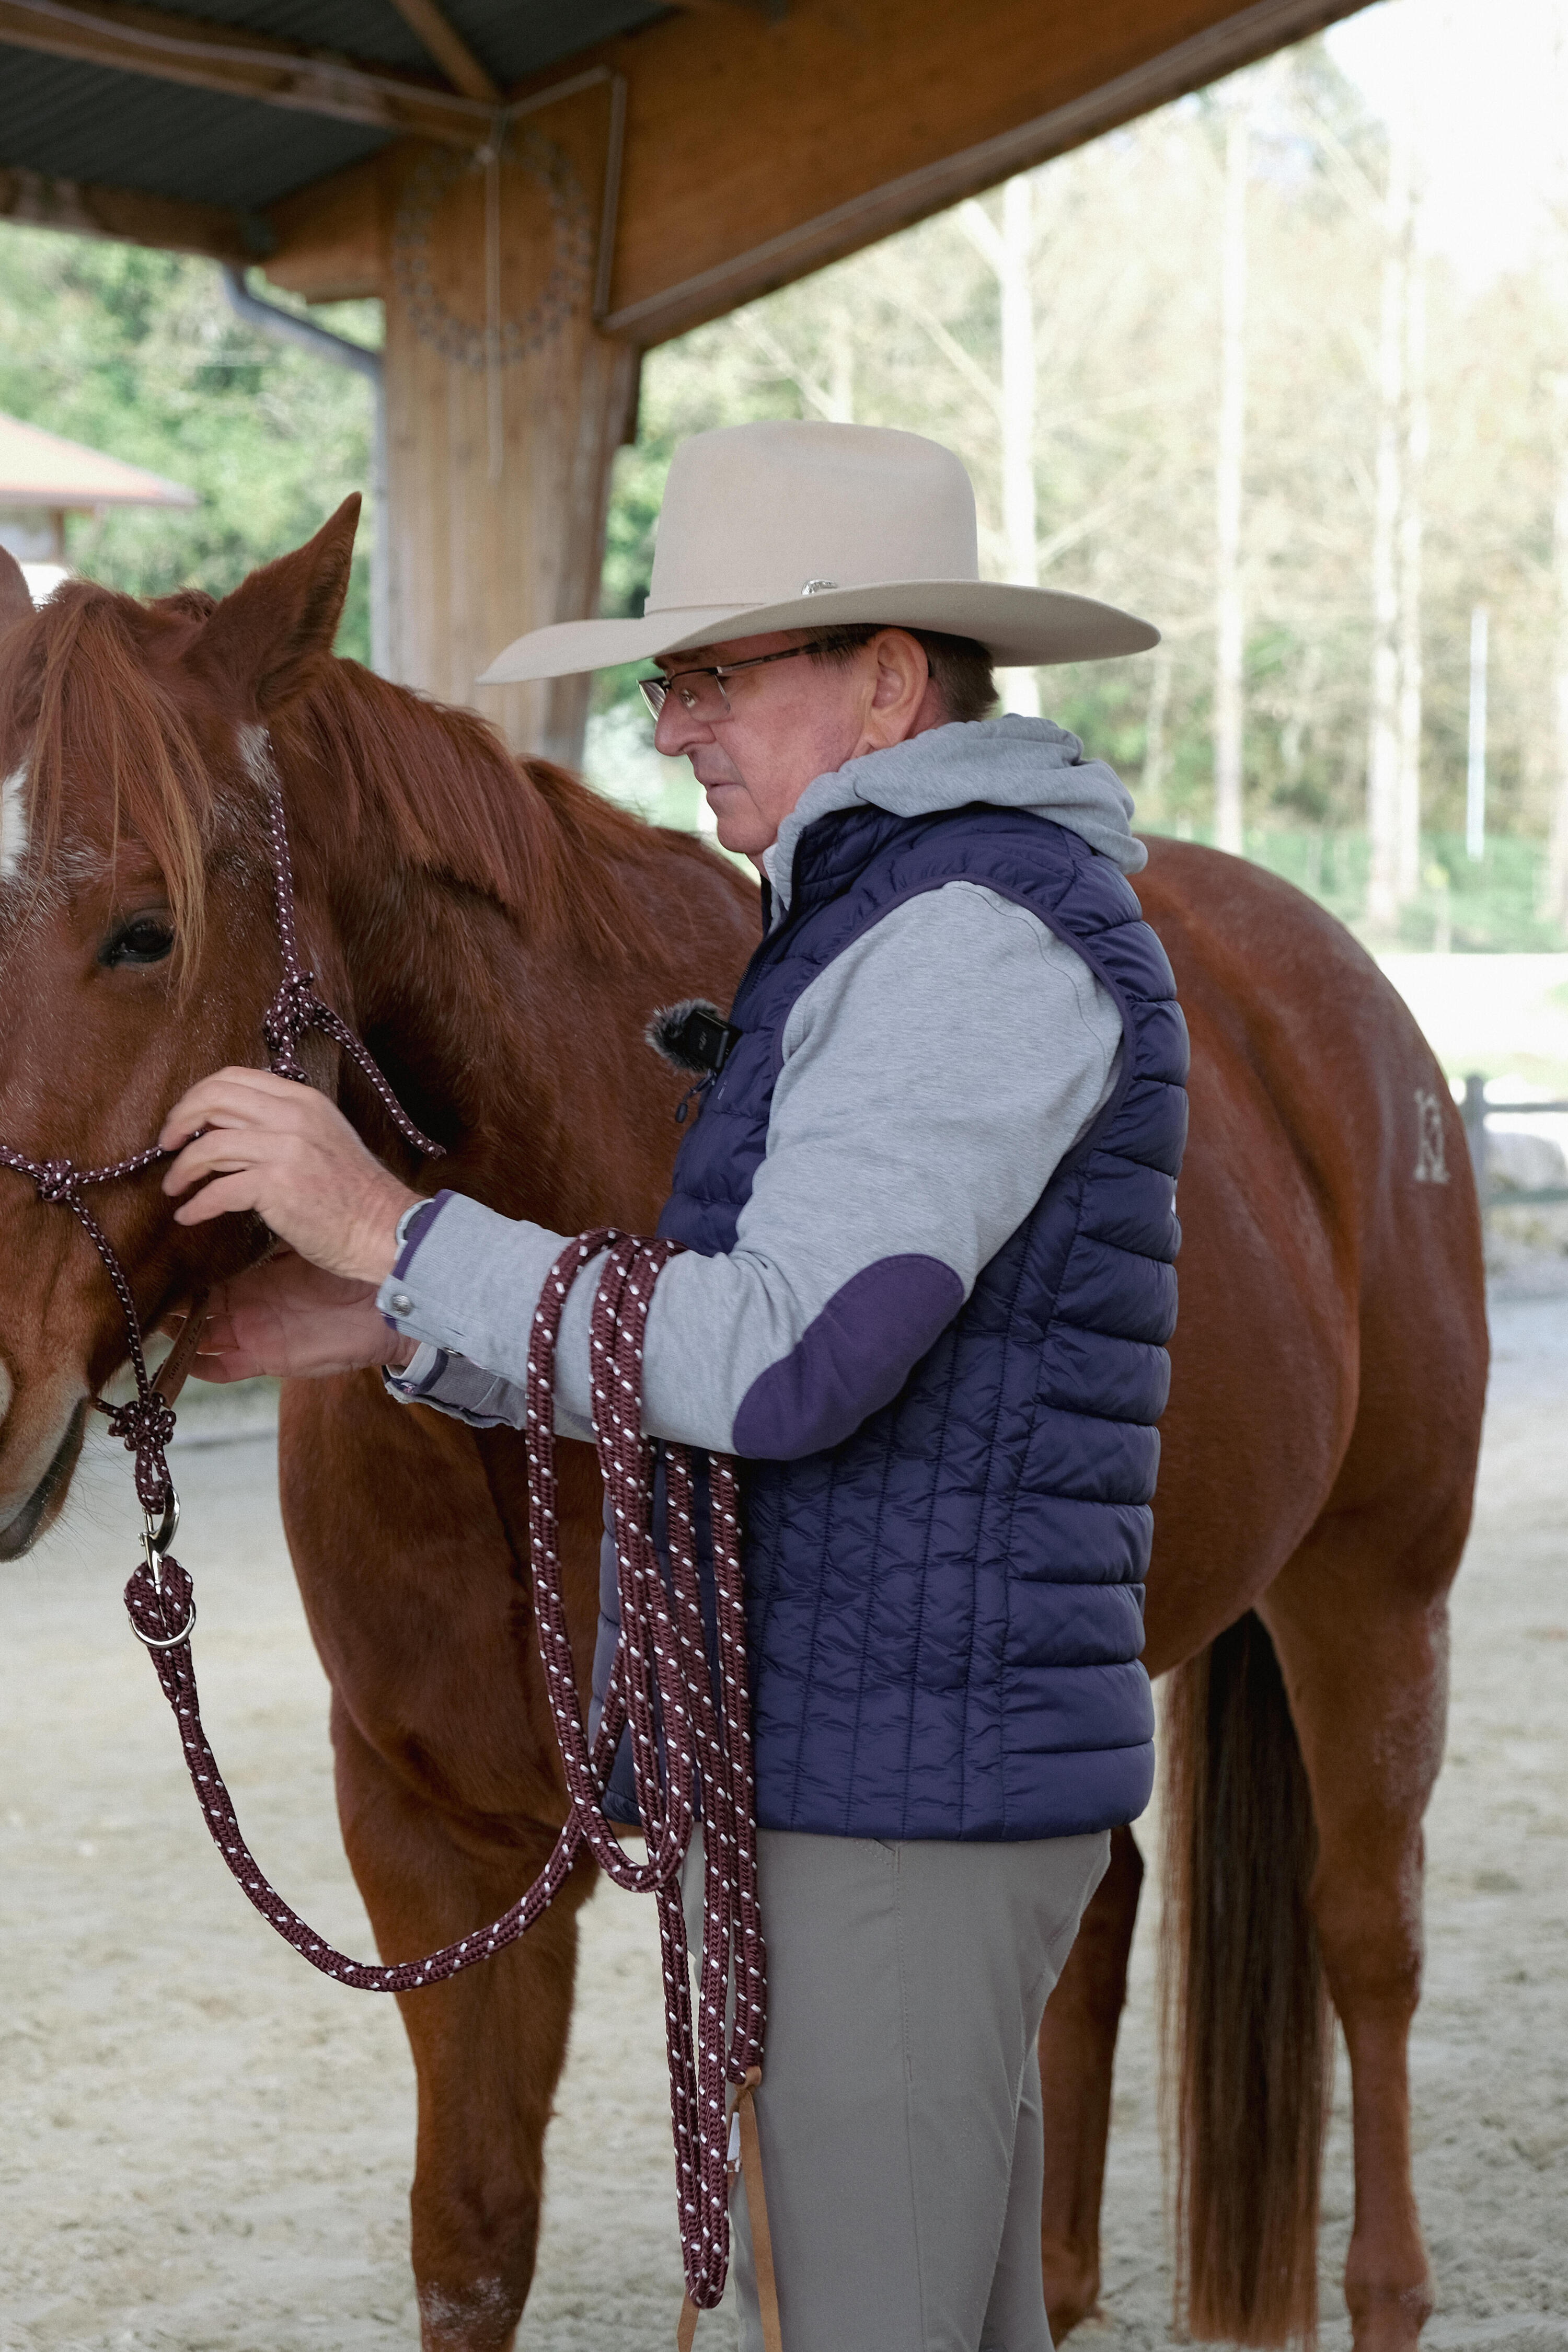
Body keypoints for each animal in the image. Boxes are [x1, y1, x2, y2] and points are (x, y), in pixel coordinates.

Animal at [0, 503, 1487, 2352]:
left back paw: (1386, 2282)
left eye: (143, 930)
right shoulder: (435, 1844)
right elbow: (472, 2243)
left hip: (1373, 1594)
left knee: (1370, 1938)